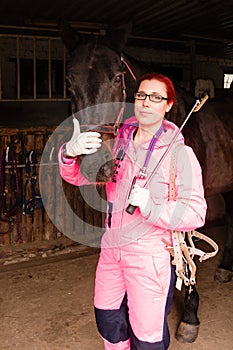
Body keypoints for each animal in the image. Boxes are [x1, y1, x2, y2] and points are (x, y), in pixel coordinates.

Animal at [57, 21, 233, 342]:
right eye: (68, 81)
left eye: (117, 78)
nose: (95, 164)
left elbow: (186, 255)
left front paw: (189, 317)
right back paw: (226, 267)